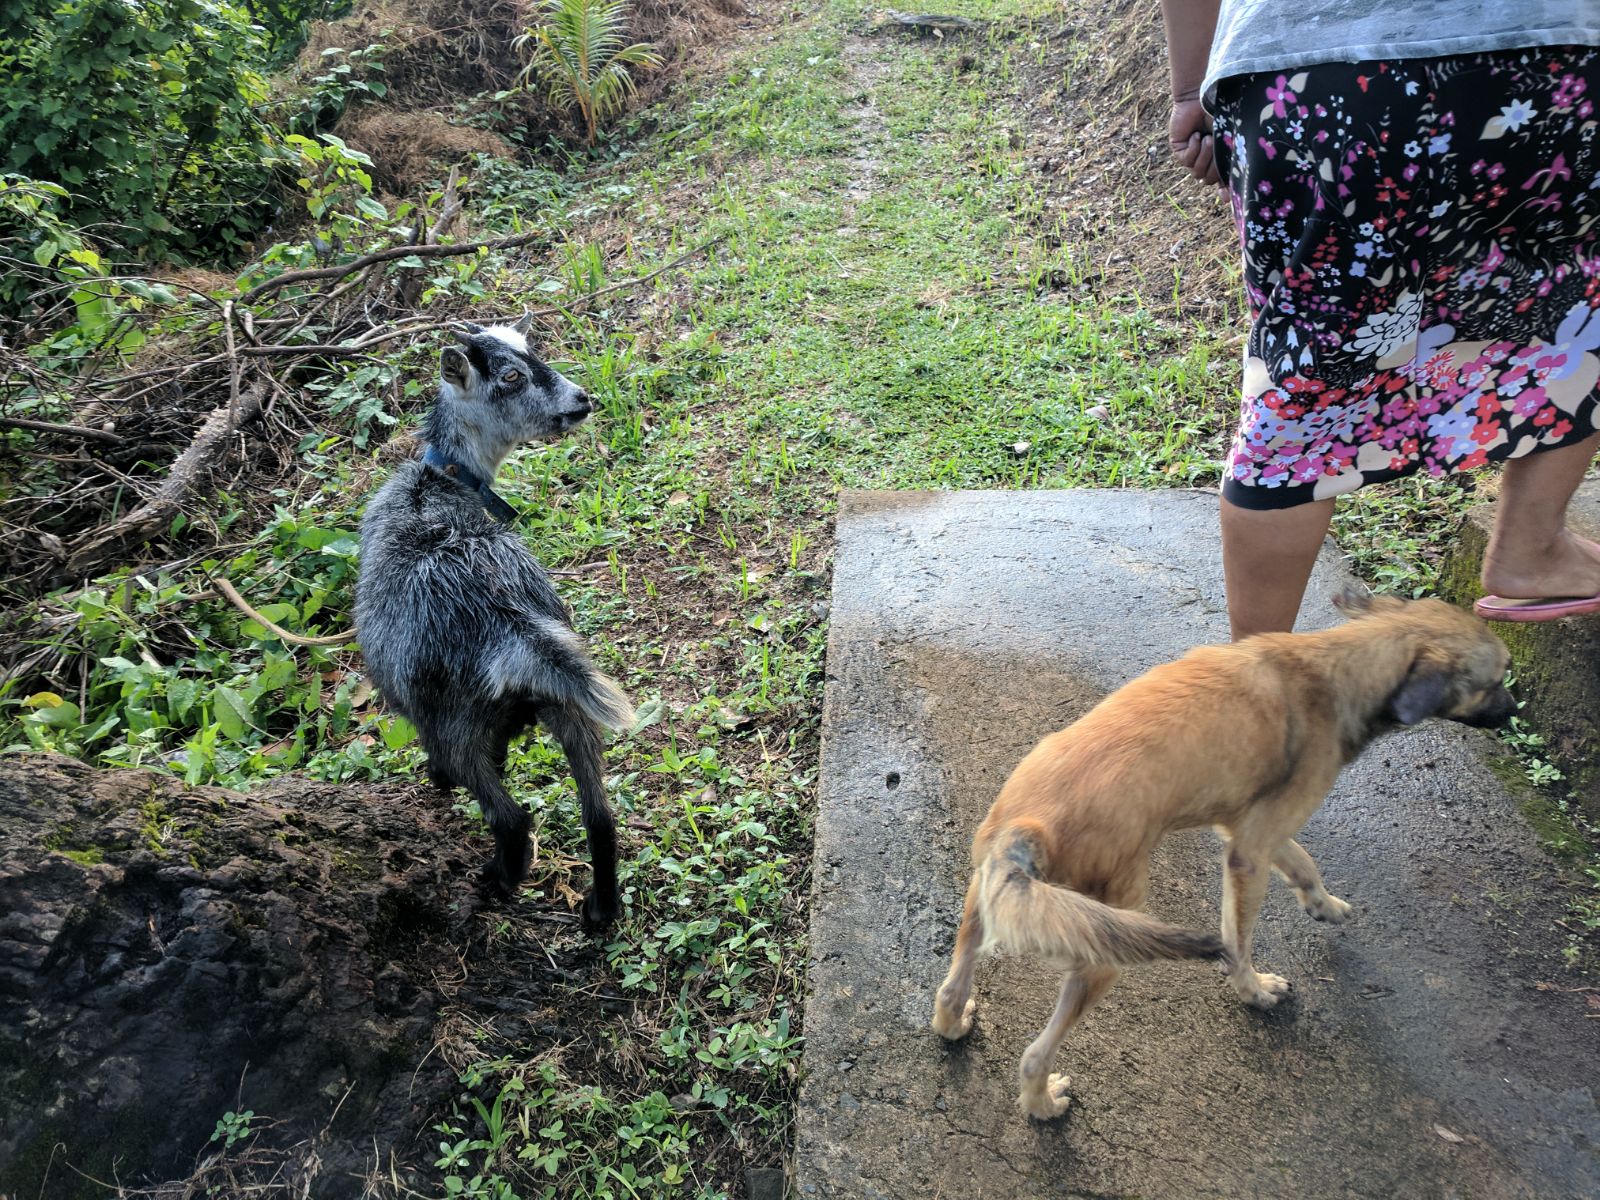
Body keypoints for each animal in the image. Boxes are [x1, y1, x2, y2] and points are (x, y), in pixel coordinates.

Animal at [355, 316, 634, 925]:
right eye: (511, 375)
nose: (582, 400)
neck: (440, 482)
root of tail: (511, 625)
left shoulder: (417, 711)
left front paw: (434, 782)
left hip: (455, 721)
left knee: (510, 817)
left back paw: (497, 880)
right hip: (568, 699)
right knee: (600, 816)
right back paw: (600, 909)